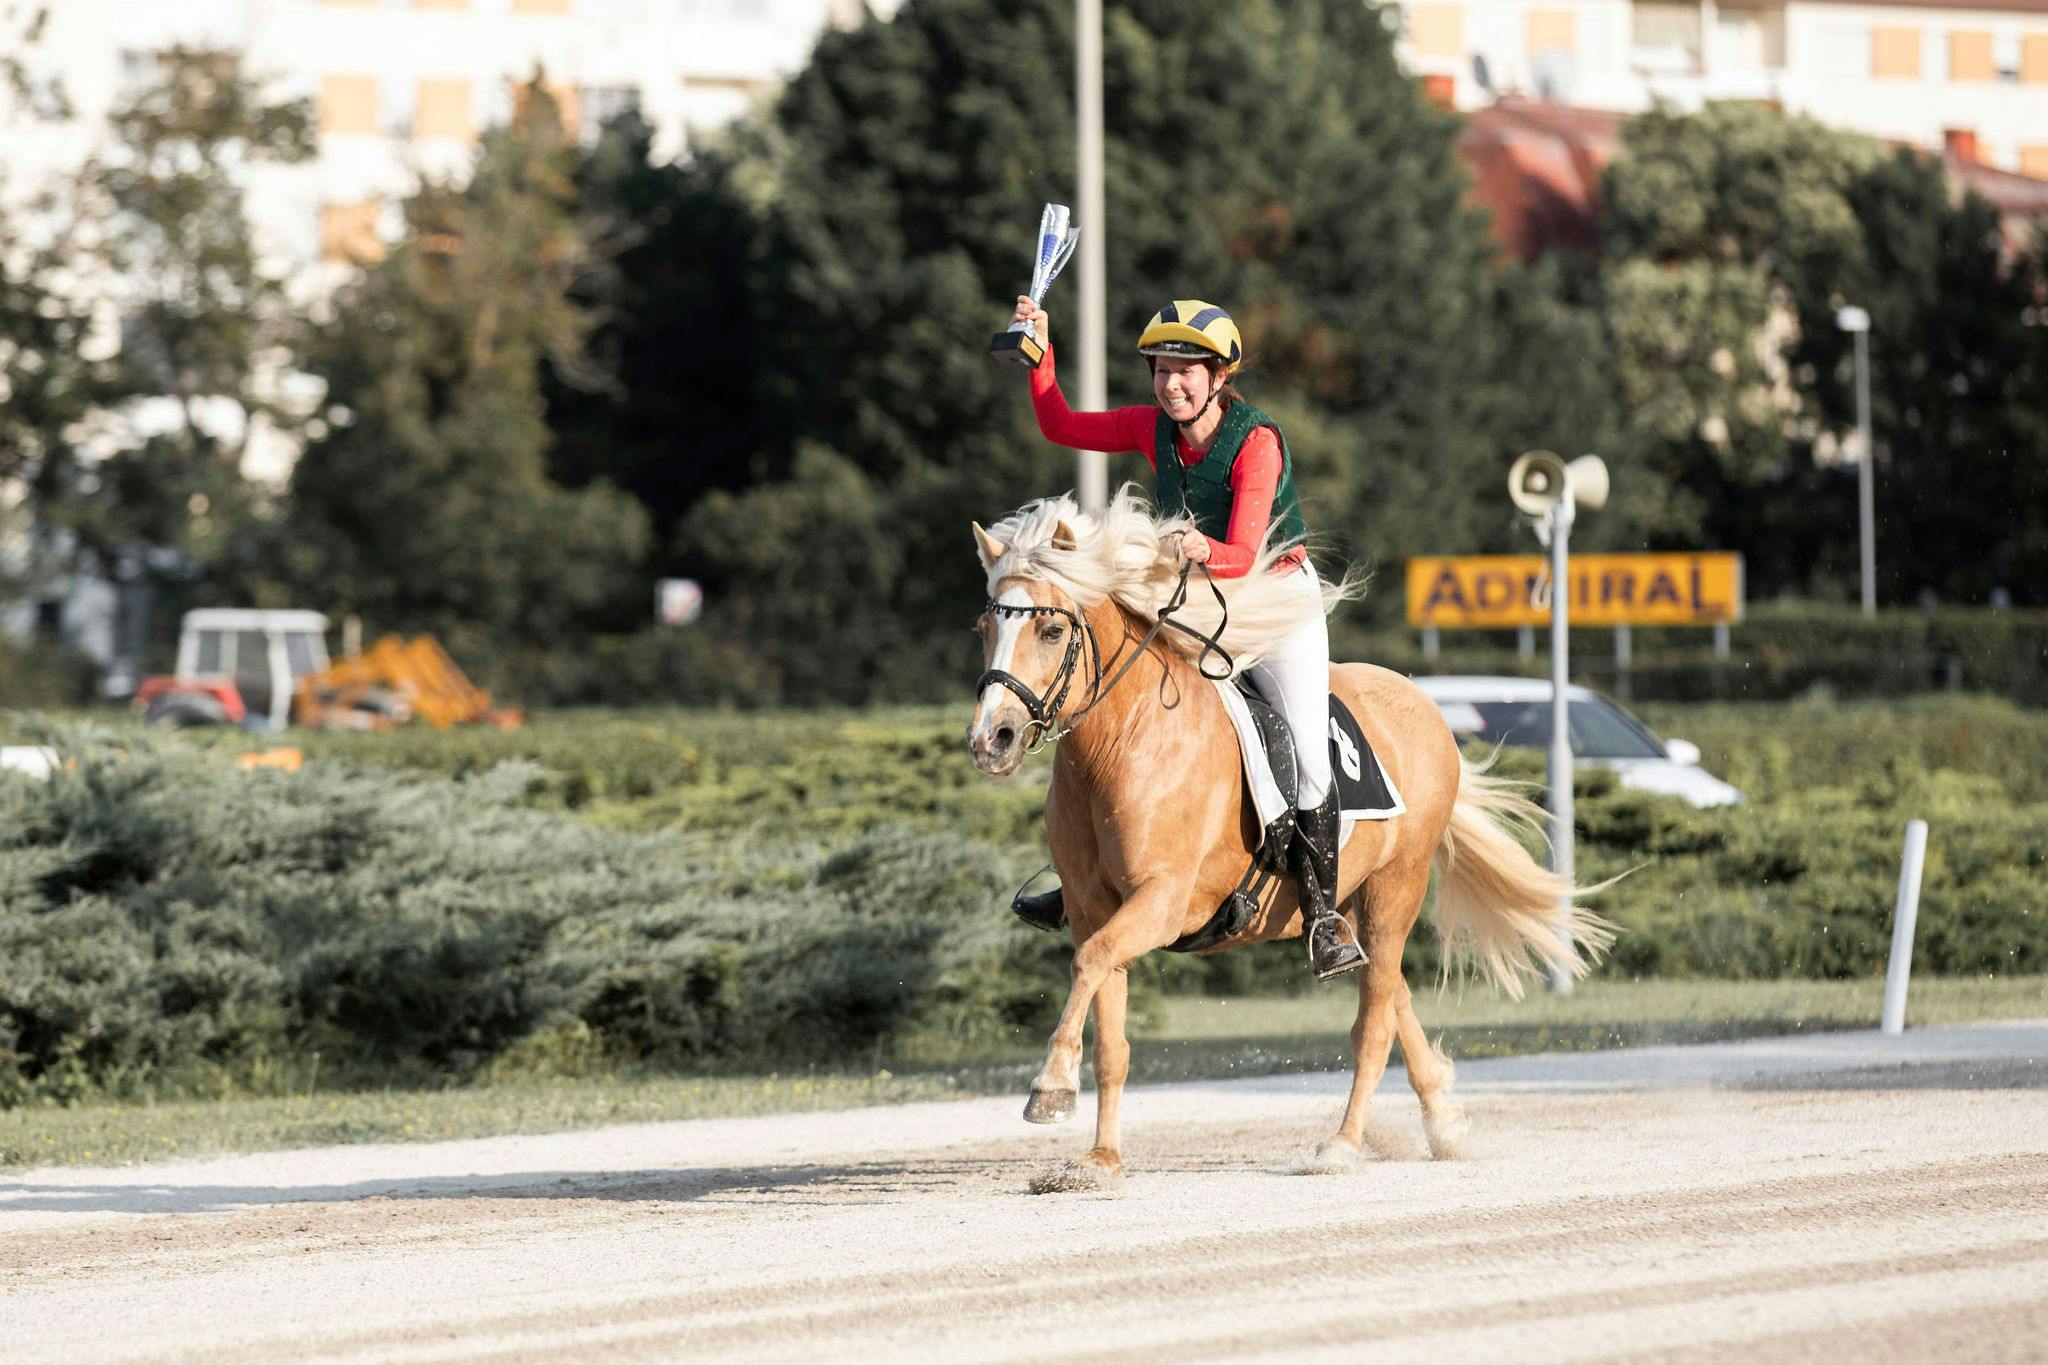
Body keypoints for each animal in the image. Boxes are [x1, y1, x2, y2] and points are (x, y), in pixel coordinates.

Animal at [962, 493, 1613, 1186]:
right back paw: (1442, 1120)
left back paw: (1344, 1145)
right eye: (984, 629)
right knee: (1393, 995)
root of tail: (1424, 704)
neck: (1119, 743)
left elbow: (1088, 964)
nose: (990, 741)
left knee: (1373, 1022)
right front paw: (1100, 1159)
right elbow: (1109, 1029)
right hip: (1355, 898)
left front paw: (1048, 1088)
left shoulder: (1161, 902)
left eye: (1051, 631)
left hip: (1397, 888)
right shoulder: (1094, 909)